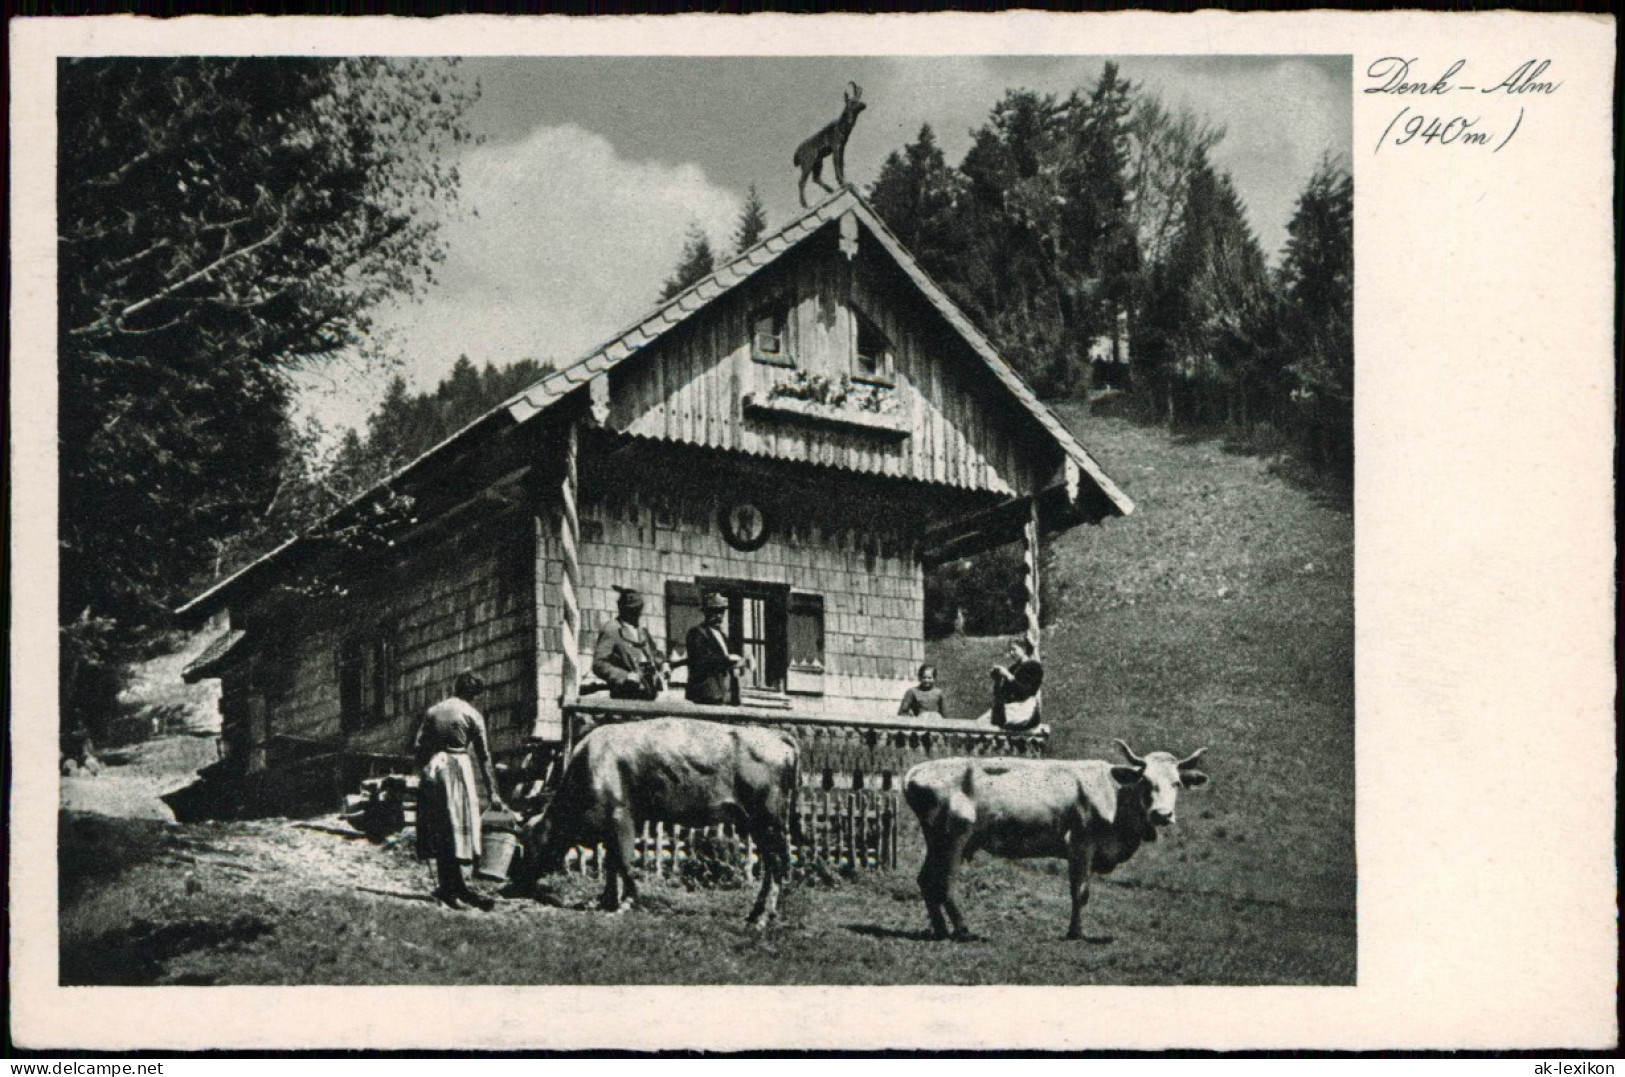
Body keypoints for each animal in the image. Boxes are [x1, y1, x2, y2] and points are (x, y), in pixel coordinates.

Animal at [903, 737, 1209, 942]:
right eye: (1145, 781)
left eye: (1176, 783)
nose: (1162, 814)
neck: (1116, 795)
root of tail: (915, 772)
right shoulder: (1080, 844)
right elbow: (1080, 892)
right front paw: (1076, 933)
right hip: (955, 836)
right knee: (945, 882)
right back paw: (963, 930)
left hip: (936, 840)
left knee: (926, 880)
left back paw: (940, 930)